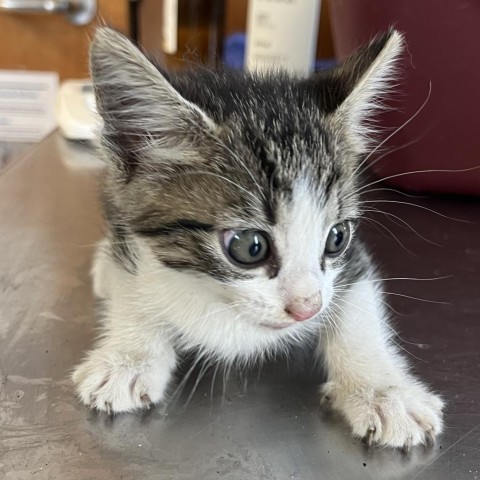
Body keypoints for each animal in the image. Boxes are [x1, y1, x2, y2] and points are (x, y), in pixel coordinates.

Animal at [73, 28, 444, 450]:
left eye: (337, 237)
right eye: (249, 247)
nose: (307, 309)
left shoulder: (352, 263)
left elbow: (358, 312)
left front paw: (384, 392)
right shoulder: (129, 232)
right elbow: (132, 286)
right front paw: (129, 357)